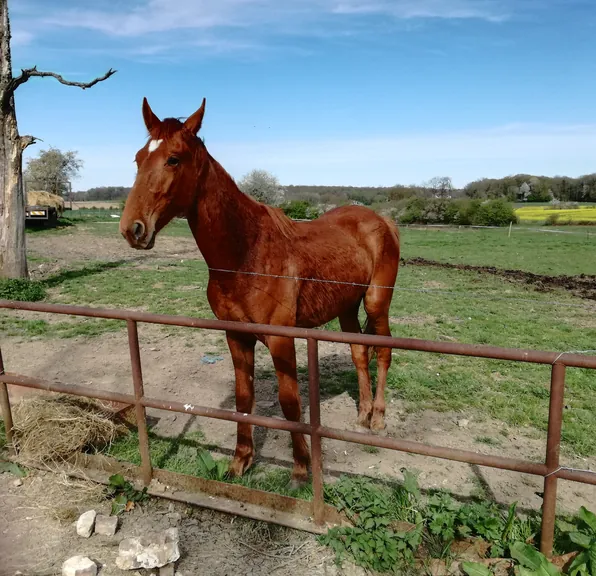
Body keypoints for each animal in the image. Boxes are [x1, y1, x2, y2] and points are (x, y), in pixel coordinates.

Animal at [120, 99, 400, 486]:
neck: (246, 253)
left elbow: (290, 401)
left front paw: (300, 469)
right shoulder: (236, 335)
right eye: (137, 159)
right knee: (359, 352)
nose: (132, 229)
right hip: (346, 306)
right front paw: (240, 461)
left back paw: (378, 418)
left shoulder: (281, 339)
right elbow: (243, 399)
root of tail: (382, 220)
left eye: (173, 159)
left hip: (376, 302)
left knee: (383, 352)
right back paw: (362, 413)